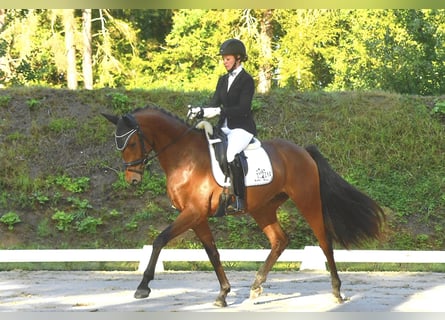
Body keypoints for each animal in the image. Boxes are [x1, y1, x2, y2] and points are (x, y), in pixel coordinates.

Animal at [102, 107, 384, 308]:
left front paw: (143, 287)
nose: (133, 180)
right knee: (280, 240)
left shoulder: (193, 213)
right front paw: (223, 294)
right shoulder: (197, 216)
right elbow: (212, 253)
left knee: (324, 241)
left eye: (131, 143)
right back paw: (256, 287)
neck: (185, 158)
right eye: (118, 145)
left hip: (307, 200)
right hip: (262, 208)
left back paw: (337, 291)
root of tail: (302, 151)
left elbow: (160, 239)